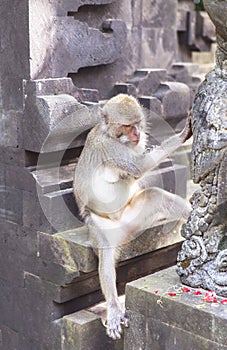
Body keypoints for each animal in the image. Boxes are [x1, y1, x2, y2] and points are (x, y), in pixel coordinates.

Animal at [73, 94, 192, 340]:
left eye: (137, 123)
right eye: (128, 126)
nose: (137, 133)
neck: (113, 136)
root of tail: (124, 227)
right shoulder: (109, 147)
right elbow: (138, 167)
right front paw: (183, 133)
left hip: (136, 215)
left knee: (156, 197)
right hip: (100, 225)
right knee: (106, 254)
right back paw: (113, 307)